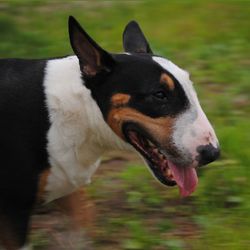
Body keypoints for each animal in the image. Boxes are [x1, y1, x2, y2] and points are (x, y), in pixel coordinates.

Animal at [0, 16, 219, 249]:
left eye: (191, 88)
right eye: (159, 95)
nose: (212, 153)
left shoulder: (68, 186)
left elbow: (82, 225)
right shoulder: (14, 211)